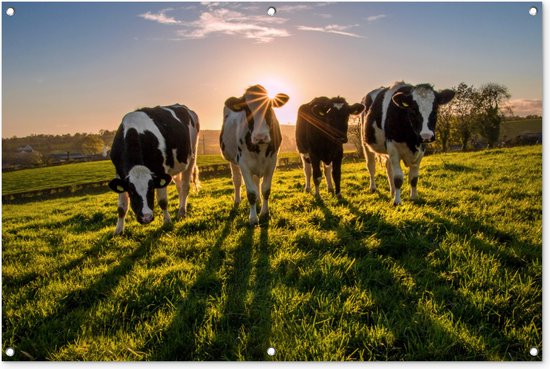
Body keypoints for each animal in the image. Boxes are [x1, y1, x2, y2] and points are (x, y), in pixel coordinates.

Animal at [109, 103, 199, 234]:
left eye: (151, 189)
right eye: (131, 191)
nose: (146, 217)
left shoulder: (160, 169)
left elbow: (162, 201)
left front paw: (167, 222)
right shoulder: (120, 174)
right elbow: (121, 207)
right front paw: (118, 231)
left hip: (192, 155)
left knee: (185, 186)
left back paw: (182, 211)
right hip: (175, 166)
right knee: (179, 185)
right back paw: (180, 206)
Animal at [220, 85, 292, 226]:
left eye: (269, 107)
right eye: (247, 110)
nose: (260, 137)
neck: (259, 148)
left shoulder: (272, 162)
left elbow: (265, 189)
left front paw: (264, 213)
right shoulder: (243, 163)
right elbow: (251, 193)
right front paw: (253, 218)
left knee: (256, 180)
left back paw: (258, 200)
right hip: (232, 160)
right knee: (237, 180)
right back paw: (237, 200)